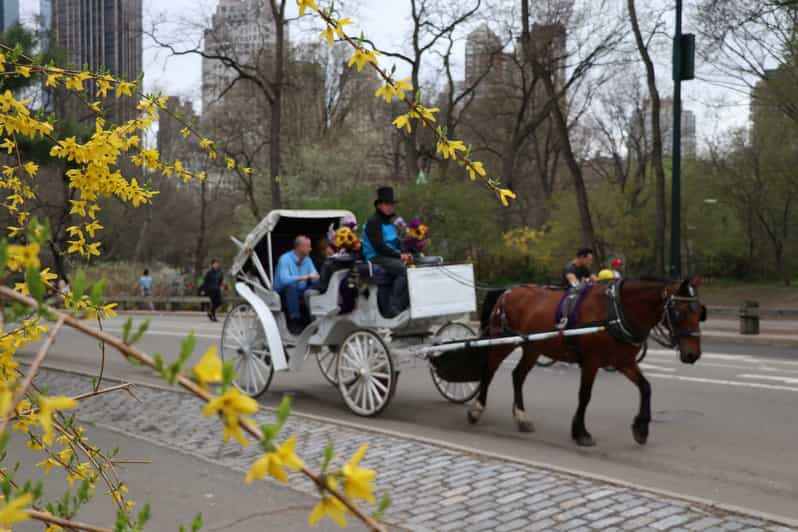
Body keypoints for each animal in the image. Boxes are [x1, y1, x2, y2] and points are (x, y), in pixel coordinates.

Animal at [468, 276, 708, 446]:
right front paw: (580, 432)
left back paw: (521, 418)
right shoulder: (591, 361)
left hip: (533, 348)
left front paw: (641, 428)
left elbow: (646, 388)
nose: (693, 355)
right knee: (489, 370)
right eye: (679, 312)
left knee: (517, 375)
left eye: (700, 313)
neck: (615, 311)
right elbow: (585, 395)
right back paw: (476, 409)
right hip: (503, 342)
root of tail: (508, 291)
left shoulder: (624, 362)